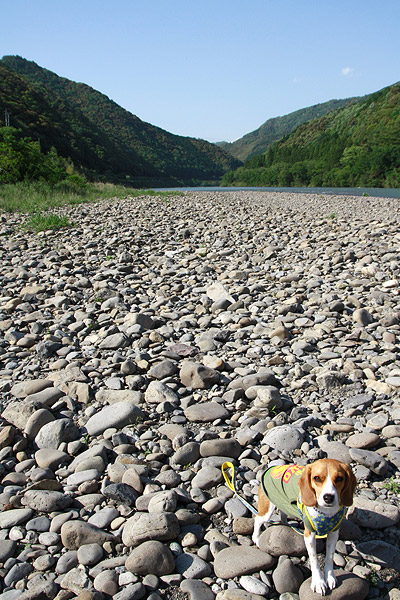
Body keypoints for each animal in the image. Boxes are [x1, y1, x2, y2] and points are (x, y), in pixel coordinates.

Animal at [253, 460, 356, 596]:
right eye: (316, 478)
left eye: (339, 478)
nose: (328, 497)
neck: (326, 513)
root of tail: (272, 468)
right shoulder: (310, 534)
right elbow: (314, 560)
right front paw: (318, 582)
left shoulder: (334, 532)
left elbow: (330, 556)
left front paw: (330, 577)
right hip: (267, 510)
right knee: (257, 520)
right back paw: (256, 537)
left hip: (284, 504)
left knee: (283, 514)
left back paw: (287, 525)